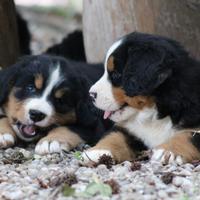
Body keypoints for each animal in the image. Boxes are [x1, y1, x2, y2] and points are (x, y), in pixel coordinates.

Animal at [82, 32, 200, 165]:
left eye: (116, 75)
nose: (91, 94)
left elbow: (188, 135)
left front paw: (168, 151)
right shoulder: (130, 130)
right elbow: (115, 136)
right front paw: (98, 151)